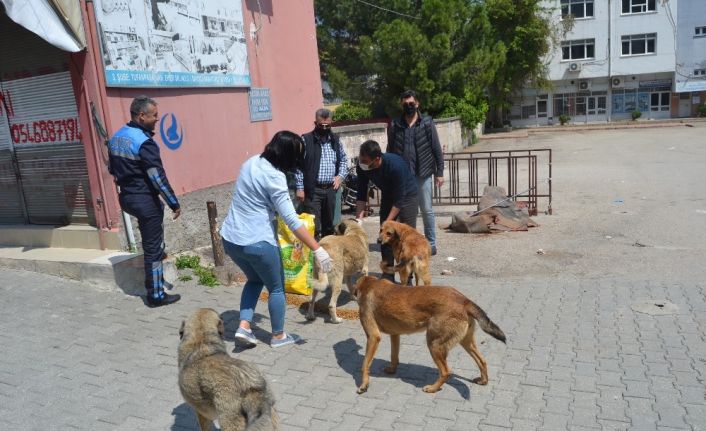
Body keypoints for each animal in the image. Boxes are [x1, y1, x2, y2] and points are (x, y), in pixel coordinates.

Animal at [354, 276, 504, 394]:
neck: (370, 284)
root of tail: (464, 300)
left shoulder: (373, 337)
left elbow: (364, 364)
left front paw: (364, 385)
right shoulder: (395, 335)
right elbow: (394, 356)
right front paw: (392, 369)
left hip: (434, 344)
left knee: (445, 371)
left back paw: (433, 388)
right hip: (466, 342)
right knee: (482, 361)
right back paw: (483, 380)